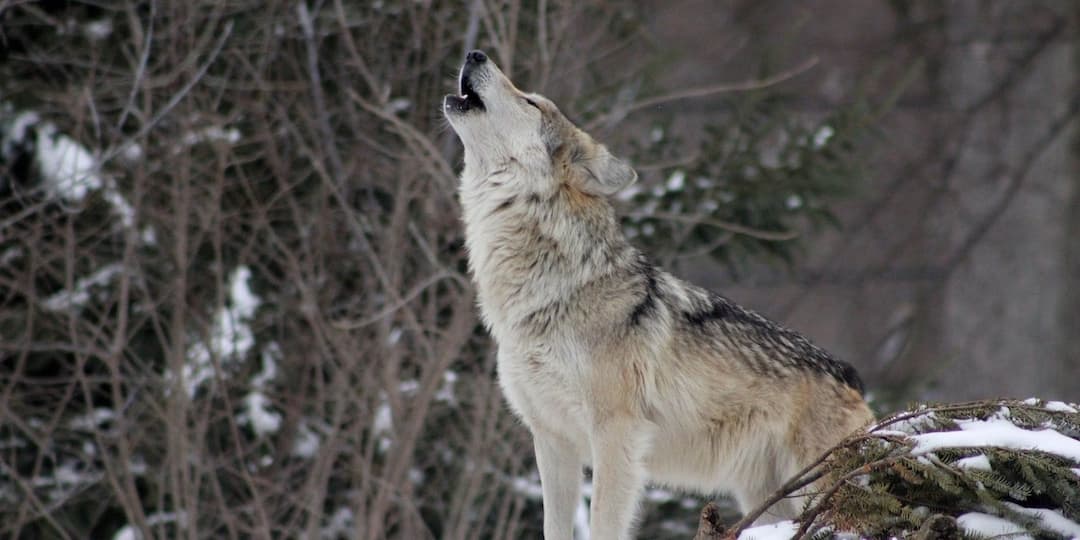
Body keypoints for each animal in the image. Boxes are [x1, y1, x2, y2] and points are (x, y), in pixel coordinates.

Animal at [444, 50, 874, 540]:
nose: (475, 53)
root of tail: (851, 376)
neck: (551, 290)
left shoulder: (616, 434)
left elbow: (603, 524)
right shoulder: (552, 440)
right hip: (767, 501)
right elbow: (554, 526)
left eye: (531, 102)